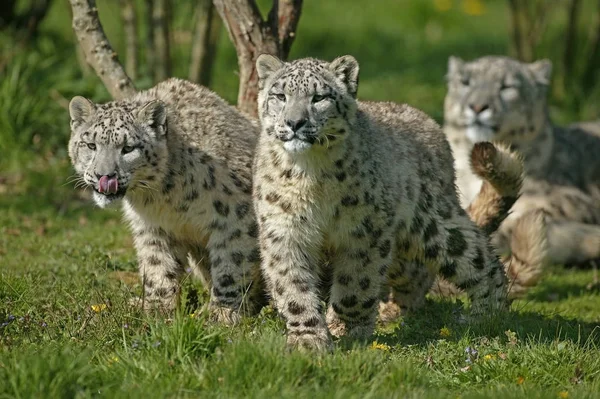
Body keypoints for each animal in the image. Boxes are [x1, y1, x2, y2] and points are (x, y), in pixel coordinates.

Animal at [67, 78, 264, 324]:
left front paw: (223, 313)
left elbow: (232, 263)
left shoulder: (236, 216)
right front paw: (156, 308)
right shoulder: (152, 226)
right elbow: (157, 264)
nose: (104, 176)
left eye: (128, 148)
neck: (165, 197)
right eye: (91, 145)